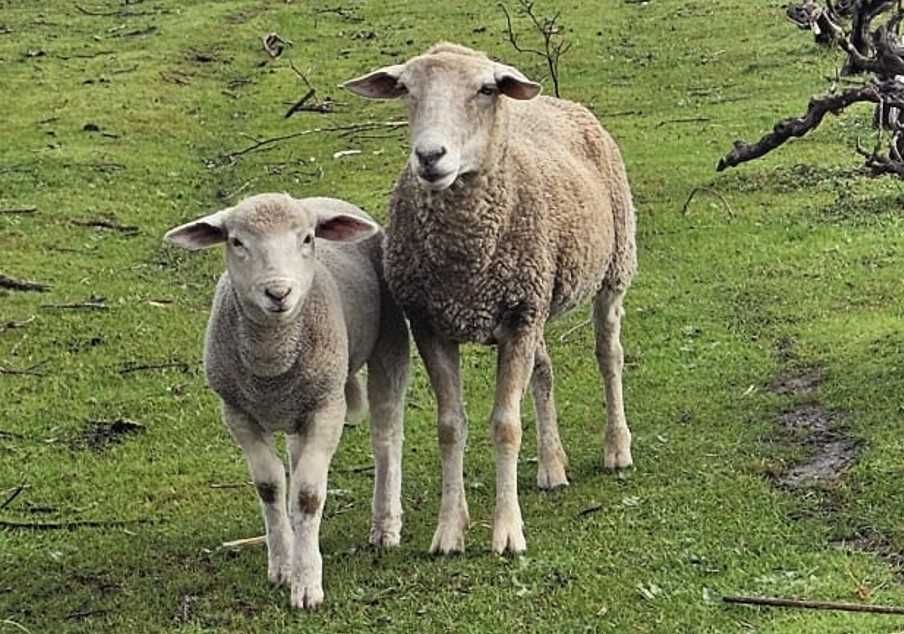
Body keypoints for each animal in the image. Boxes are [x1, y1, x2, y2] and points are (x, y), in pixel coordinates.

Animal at [164, 193, 410, 609]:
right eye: (237, 242)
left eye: (308, 239)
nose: (278, 293)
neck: (271, 364)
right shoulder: (238, 412)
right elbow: (270, 486)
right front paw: (283, 564)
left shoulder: (327, 407)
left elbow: (309, 494)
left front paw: (307, 584)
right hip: (297, 409)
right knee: (296, 460)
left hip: (388, 347)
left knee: (386, 441)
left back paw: (386, 526)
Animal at [344, 43, 637, 555]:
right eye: (406, 89)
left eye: (485, 89)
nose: (430, 156)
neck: (465, 259)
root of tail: (555, 100)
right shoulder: (433, 322)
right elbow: (450, 426)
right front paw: (449, 529)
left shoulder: (518, 318)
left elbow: (505, 424)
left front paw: (507, 532)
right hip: (537, 296)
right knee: (544, 371)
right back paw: (552, 466)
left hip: (612, 267)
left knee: (609, 355)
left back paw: (616, 448)